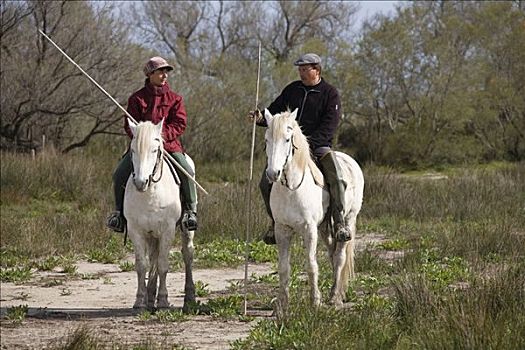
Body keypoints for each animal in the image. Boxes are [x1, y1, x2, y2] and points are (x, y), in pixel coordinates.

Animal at [124, 119, 195, 312]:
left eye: (154, 150)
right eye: (133, 150)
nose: (140, 182)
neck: (150, 193)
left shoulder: (167, 230)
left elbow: (163, 265)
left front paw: (163, 301)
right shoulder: (136, 231)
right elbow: (142, 265)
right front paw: (140, 301)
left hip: (186, 231)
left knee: (187, 254)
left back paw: (190, 297)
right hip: (151, 235)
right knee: (153, 258)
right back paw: (150, 297)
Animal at [264, 108, 362, 310]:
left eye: (287, 139)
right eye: (267, 139)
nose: (272, 174)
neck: (292, 189)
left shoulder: (309, 230)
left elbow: (311, 265)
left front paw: (315, 301)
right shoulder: (282, 230)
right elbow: (283, 268)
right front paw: (281, 304)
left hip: (349, 219)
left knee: (340, 256)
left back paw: (334, 297)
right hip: (324, 227)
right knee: (333, 253)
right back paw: (336, 291)